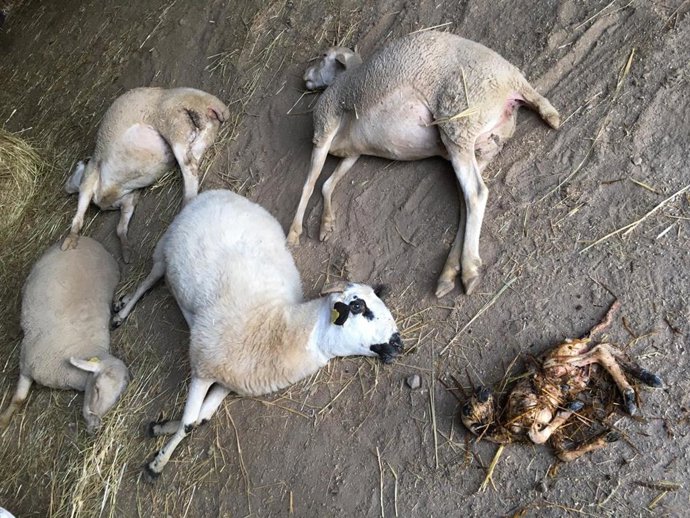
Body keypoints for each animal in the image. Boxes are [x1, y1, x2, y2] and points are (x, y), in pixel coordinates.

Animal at [0, 237, 129, 434]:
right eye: (97, 389)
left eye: (115, 399)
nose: (95, 428)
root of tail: (87, 239)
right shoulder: (26, 365)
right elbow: (18, 399)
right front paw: (3, 421)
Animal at [61, 87, 230, 262]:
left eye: (77, 166)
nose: (66, 186)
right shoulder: (130, 199)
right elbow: (120, 229)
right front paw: (126, 252)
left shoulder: (90, 175)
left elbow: (79, 213)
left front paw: (70, 240)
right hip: (194, 120)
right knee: (204, 137)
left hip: (171, 119)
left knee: (188, 165)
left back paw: (187, 205)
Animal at [111, 189, 403, 478]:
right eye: (357, 306)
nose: (398, 342)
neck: (275, 328)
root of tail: (217, 192)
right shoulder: (203, 367)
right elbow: (188, 422)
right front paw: (157, 463)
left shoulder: (229, 382)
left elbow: (201, 418)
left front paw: (160, 428)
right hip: (164, 248)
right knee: (148, 280)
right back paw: (120, 312)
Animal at [288, 30, 560, 297]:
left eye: (324, 55)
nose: (305, 76)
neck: (345, 78)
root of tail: (514, 81)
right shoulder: (353, 153)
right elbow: (327, 184)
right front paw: (326, 224)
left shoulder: (324, 127)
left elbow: (309, 184)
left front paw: (293, 234)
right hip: (482, 146)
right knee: (465, 203)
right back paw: (448, 274)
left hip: (457, 121)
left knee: (476, 193)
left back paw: (469, 270)